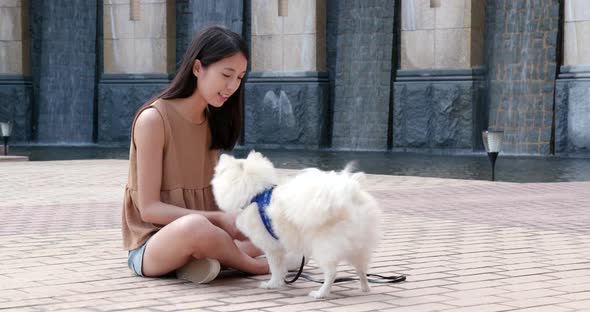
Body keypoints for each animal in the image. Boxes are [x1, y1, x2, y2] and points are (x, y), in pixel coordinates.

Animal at [213, 152, 384, 298]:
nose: (221, 155)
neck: (256, 195)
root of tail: (350, 196)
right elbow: (281, 268)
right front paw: (280, 282)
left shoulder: (272, 248)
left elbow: (274, 267)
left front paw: (271, 284)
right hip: (359, 247)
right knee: (362, 269)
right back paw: (365, 288)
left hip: (323, 247)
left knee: (332, 273)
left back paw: (320, 293)